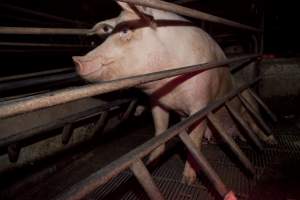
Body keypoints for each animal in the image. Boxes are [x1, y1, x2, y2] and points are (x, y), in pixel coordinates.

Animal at [72, 1, 274, 186]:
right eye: (108, 33)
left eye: (125, 31)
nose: (77, 61)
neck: (170, 88)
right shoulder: (157, 102)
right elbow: (160, 130)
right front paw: (151, 162)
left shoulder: (201, 104)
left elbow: (194, 140)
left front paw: (188, 180)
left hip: (248, 108)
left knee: (255, 126)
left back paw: (270, 142)